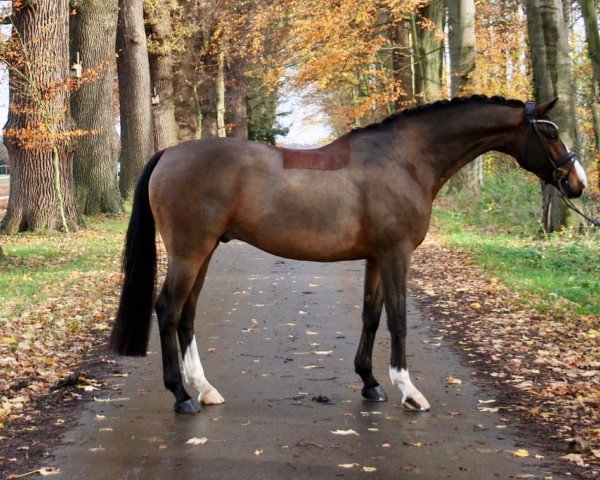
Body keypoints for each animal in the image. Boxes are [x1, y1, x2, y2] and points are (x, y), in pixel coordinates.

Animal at [108, 96, 584, 412]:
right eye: (550, 132)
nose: (577, 183)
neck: (404, 160)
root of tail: (169, 153)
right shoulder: (396, 255)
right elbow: (398, 320)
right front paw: (409, 391)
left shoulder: (376, 257)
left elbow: (371, 316)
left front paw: (370, 383)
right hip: (189, 251)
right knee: (168, 309)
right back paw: (180, 395)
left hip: (204, 252)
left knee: (187, 313)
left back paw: (204, 389)